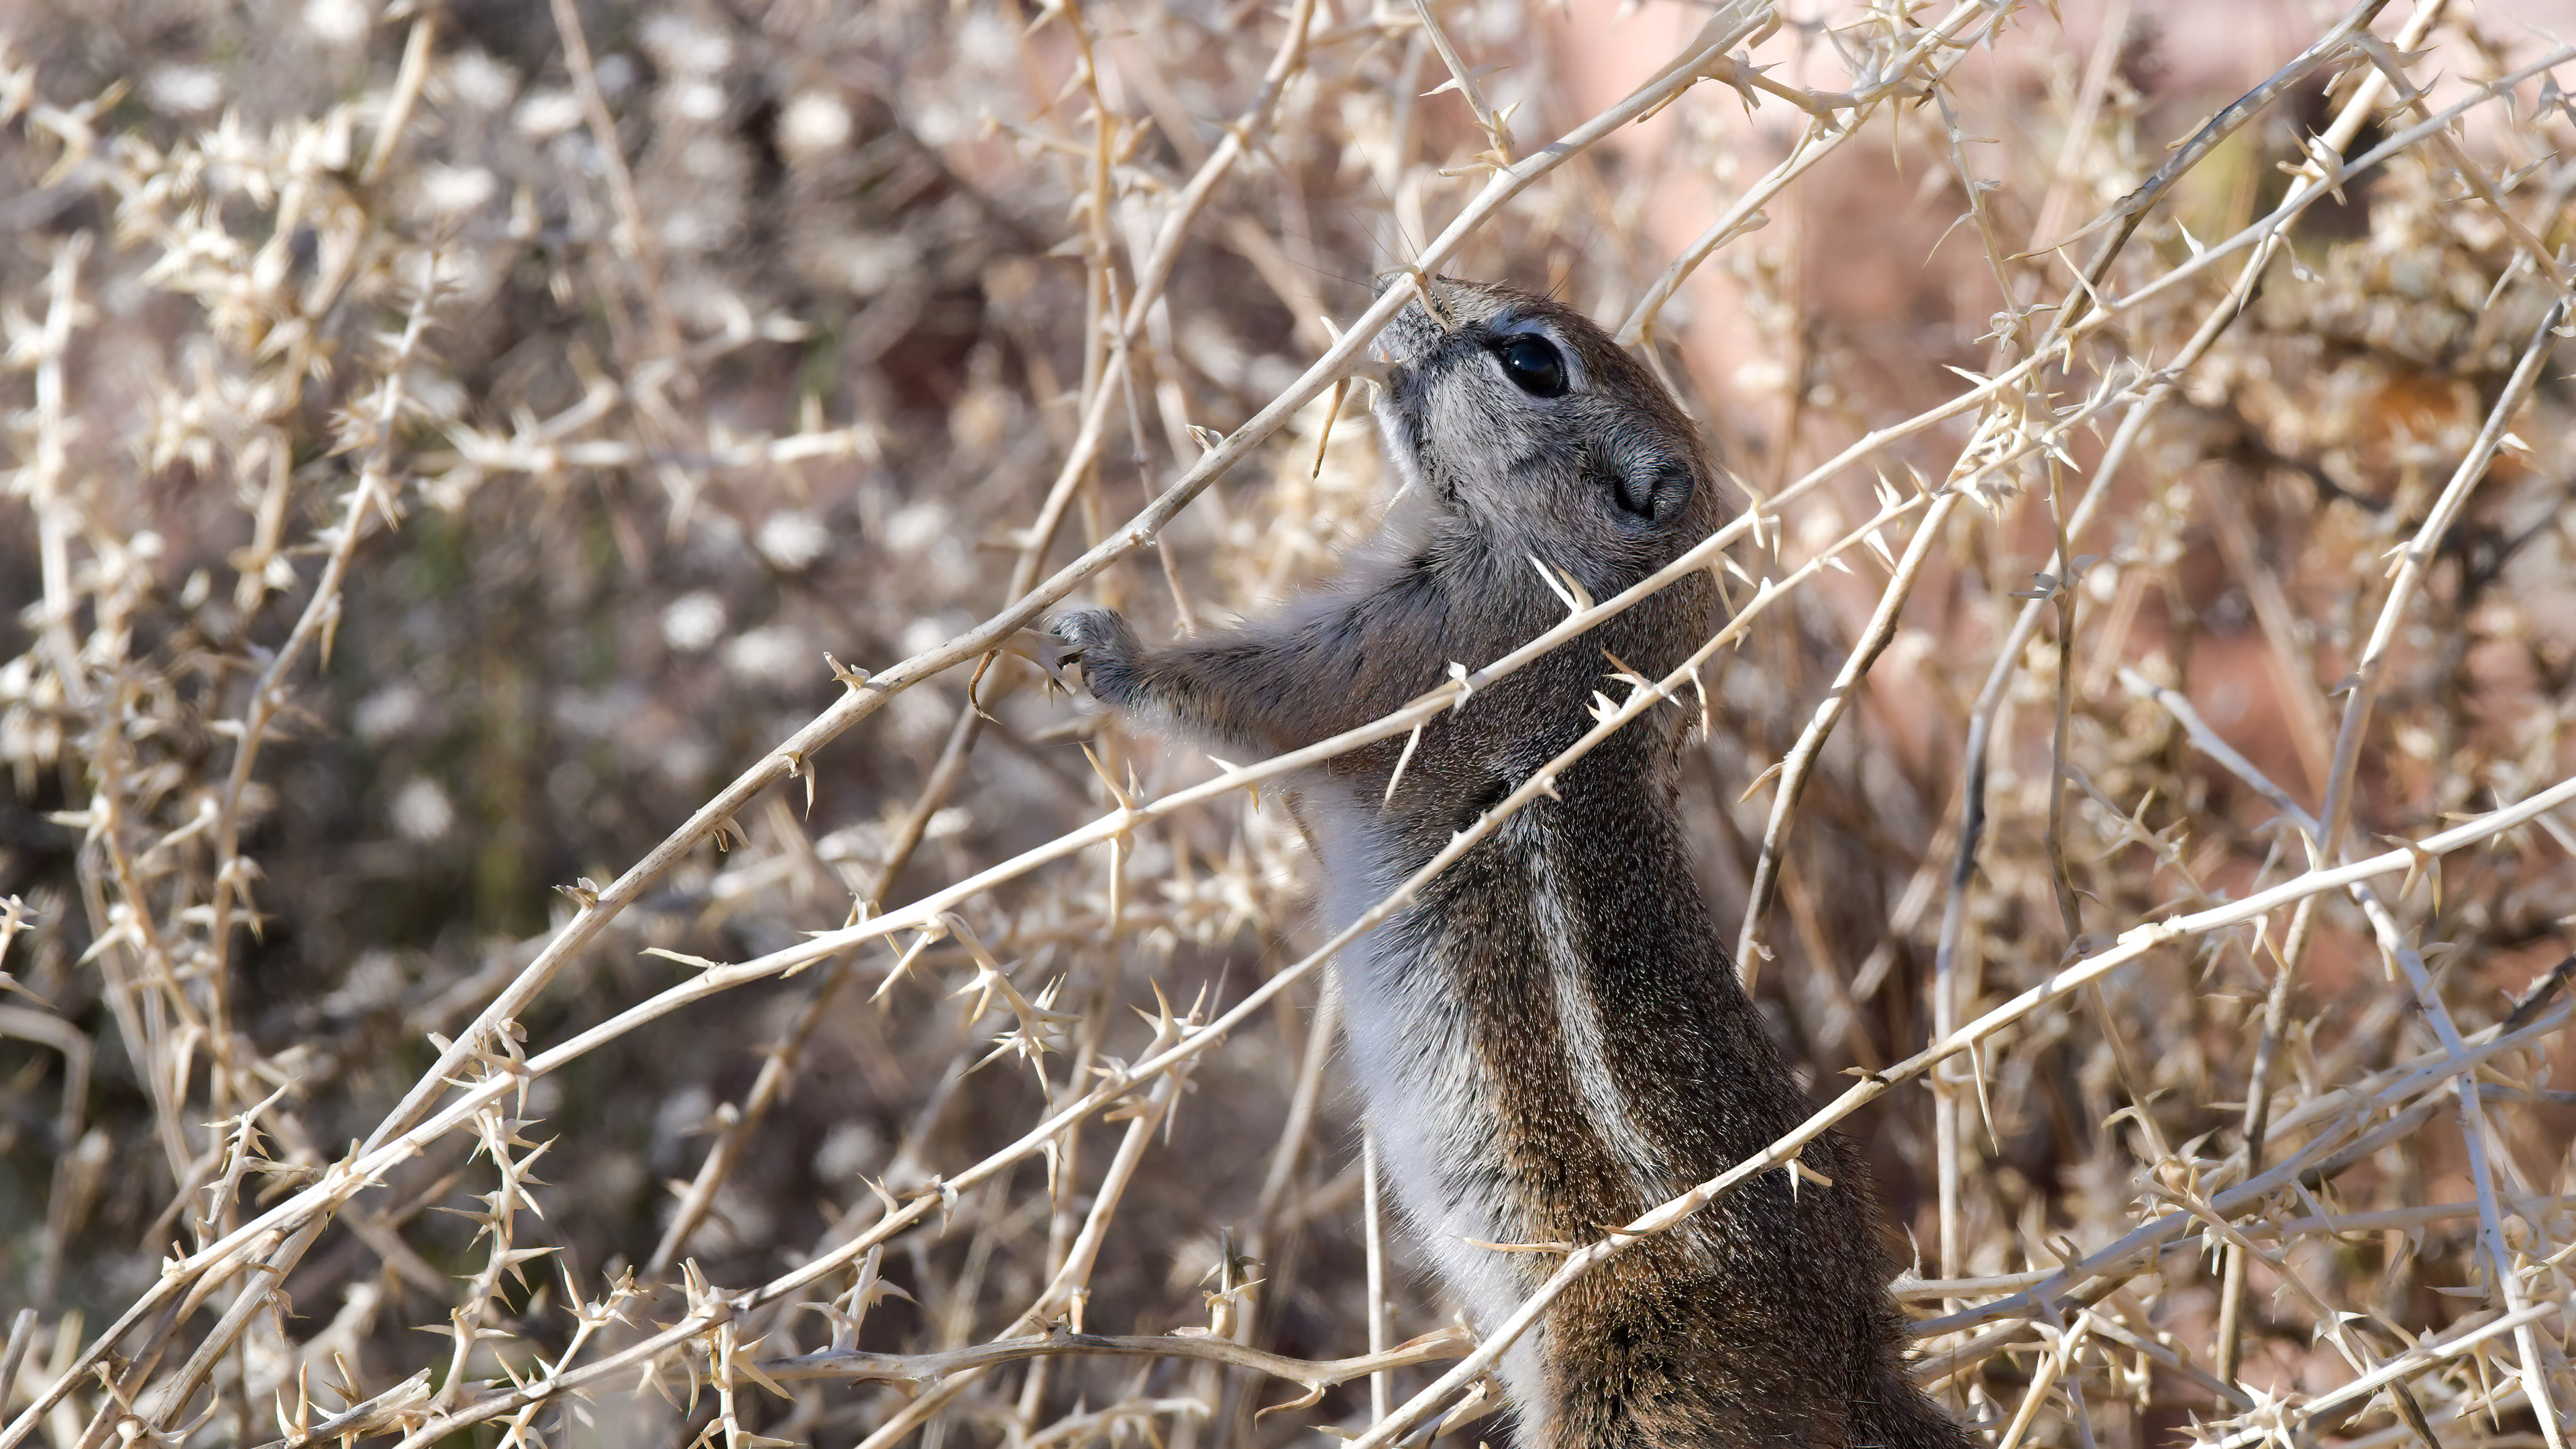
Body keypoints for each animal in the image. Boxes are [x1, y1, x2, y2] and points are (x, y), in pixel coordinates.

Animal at [1051, 277, 1972, 1449]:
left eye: (1533, 362)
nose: (1402, 291)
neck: (1594, 603)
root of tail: (1863, 1374)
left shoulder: (1416, 651)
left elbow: (1265, 694)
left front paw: (1104, 648)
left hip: (1635, 1399)